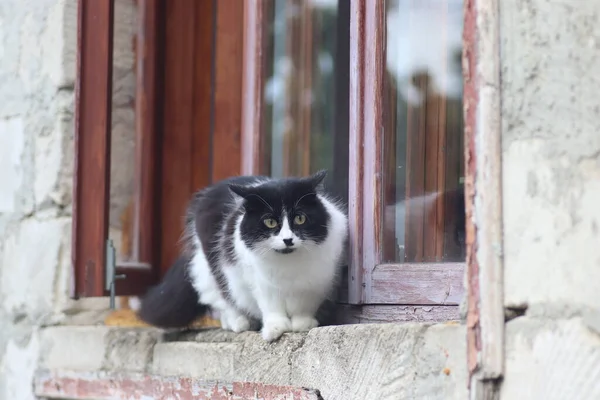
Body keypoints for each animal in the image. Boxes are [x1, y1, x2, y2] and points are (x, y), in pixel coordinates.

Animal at [137, 170, 350, 342]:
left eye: (300, 218)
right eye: (270, 222)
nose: (288, 239)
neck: (288, 264)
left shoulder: (315, 283)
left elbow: (304, 306)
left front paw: (302, 324)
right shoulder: (260, 282)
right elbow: (271, 306)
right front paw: (275, 329)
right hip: (212, 269)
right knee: (223, 299)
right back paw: (238, 322)